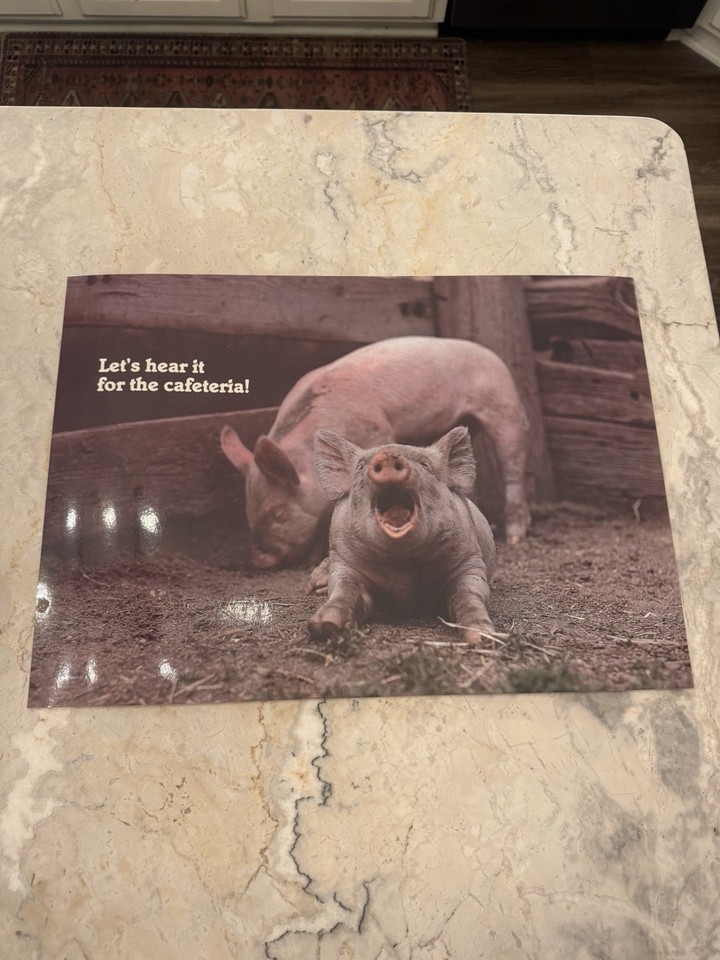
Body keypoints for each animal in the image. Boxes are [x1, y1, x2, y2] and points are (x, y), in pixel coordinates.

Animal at [220, 336, 529, 570]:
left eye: (278, 514)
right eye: (248, 509)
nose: (259, 561)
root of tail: (493, 355)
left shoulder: (377, 432)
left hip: (503, 405)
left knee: (513, 464)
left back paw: (515, 537)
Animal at [307, 427, 497, 643]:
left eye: (425, 464)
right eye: (360, 467)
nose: (387, 456)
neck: (402, 568)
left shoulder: (469, 559)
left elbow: (469, 595)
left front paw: (483, 636)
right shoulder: (344, 561)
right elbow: (344, 590)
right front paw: (324, 625)